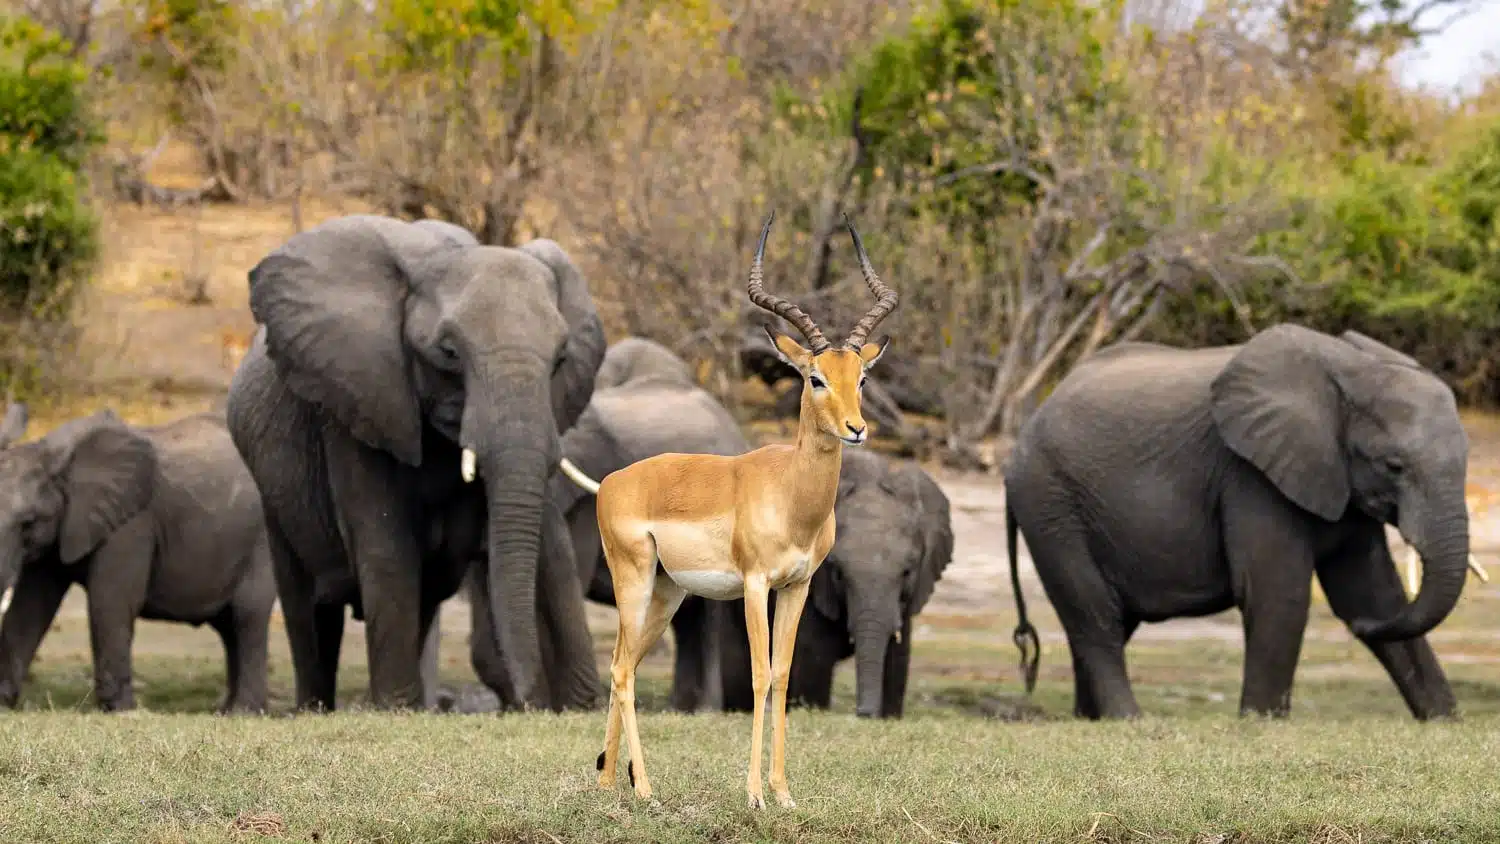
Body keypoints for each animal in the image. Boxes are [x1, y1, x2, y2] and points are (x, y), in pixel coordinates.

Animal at [0, 404, 275, 713]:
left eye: (27, 522)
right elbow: (30, 606)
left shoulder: (131, 524)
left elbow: (112, 600)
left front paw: (119, 709)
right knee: (229, 628)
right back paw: (225, 711)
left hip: (263, 542)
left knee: (247, 615)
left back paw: (243, 711)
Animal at [226, 213, 606, 712]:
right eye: (448, 352)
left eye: (561, 358)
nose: (528, 702)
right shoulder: (359, 403)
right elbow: (386, 546)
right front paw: (394, 709)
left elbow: (553, 545)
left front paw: (585, 706)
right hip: (273, 489)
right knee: (307, 603)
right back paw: (318, 709)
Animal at [588, 211, 897, 809]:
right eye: (814, 377)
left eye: (861, 378)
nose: (857, 428)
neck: (790, 495)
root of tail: (613, 481)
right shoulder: (755, 584)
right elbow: (757, 674)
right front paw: (753, 794)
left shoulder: (797, 585)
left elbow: (783, 675)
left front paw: (783, 793)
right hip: (634, 580)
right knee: (621, 671)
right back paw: (645, 790)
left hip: (666, 594)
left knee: (621, 664)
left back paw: (610, 781)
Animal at [1003, 323, 1472, 720]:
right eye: (1394, 466)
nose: (1358, 630)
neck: (1352, 370)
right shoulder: (1249, 475)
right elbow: (1279, 593)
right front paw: (1262, 722)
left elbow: (1373, 595)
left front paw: (1443, 721)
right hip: (1050, 503)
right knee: (1094, 615)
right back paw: (1129, 720)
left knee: (1113, 620)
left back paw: (1091, 719)